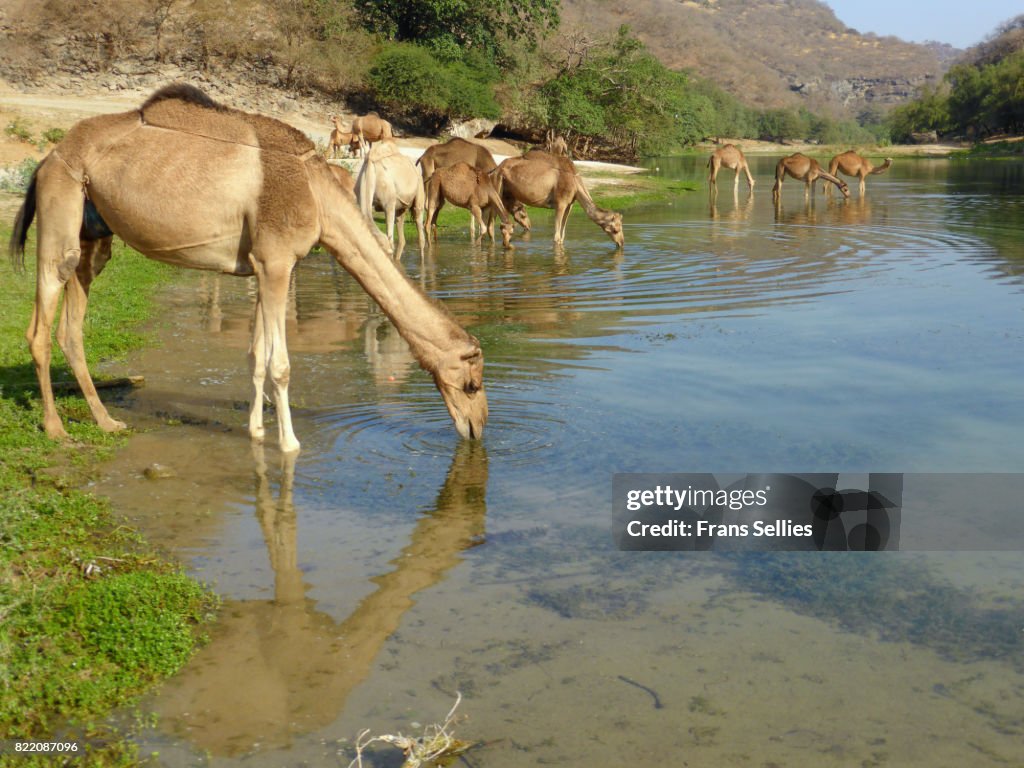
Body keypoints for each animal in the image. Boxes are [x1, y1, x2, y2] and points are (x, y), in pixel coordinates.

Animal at [7, 83, 487, 454]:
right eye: (472, 383)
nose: (477, 428)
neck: (318, 197)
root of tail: (46, 158)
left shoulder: (259, 264)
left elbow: (256, 356)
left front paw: (256, 430)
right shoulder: (277, 262)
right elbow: (280, 365)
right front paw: (289, 444)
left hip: (94, 231)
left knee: (73, 324)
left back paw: (107, 421)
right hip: (61, 199)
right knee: (41, 323)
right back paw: (57, 429)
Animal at [493, 149, 622, 246]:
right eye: (616, 230)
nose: (621, 243)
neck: (575, 183)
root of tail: (497, 168)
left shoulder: (570, 204)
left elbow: (562, 236)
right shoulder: (560, 203)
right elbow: (556, 237)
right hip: (498, 185)